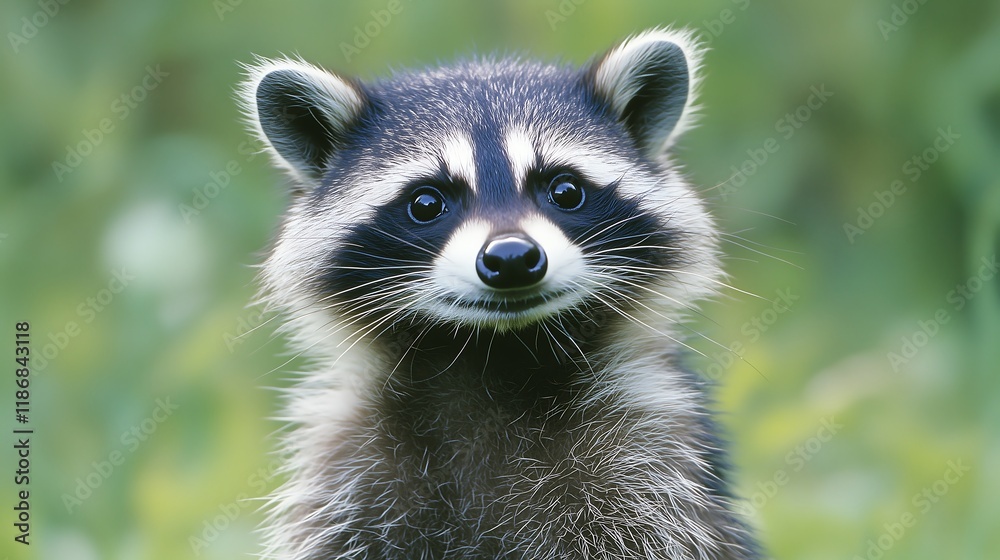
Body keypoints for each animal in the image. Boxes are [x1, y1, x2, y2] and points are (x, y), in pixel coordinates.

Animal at [240, 28, 759, 560]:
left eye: (565, 190)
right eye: (426, 202)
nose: (511, 257)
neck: (495, 356)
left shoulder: (648, 459)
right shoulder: (347, 468)